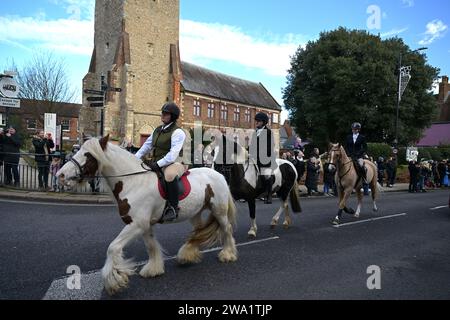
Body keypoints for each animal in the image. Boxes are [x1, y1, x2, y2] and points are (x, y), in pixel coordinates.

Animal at [57, 135, 239, 296]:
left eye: (87, 155)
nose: (61, 176)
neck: (133, 183)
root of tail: (218, 174)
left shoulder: (136, 224)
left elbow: (113, 247)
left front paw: (114, 281)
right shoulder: (145, 225)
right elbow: (151, 246)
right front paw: (153, 270)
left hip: (219, 211)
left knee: (227, 229)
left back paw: (228, 254)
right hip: (196, 213)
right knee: (199, 232)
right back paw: (187, 255)